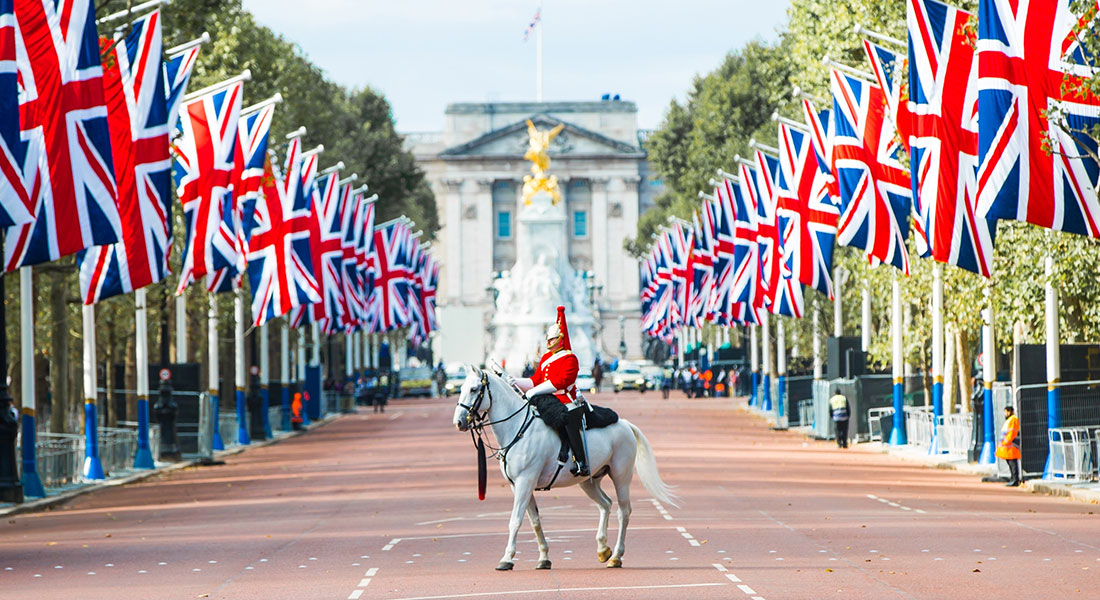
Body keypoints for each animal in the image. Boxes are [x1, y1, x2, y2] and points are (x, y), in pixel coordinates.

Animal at [448, 367, 673, 568]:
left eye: (474, 389)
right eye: (462, 388)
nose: (458, 422)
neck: (518, 428)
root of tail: (625, 423)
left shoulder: (524, 482)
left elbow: (515, 520)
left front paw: (507, 558)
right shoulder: (519, 486)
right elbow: (535, 521)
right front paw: (544, 558)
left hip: (621, 476)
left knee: (623, 511)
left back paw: (617, 556)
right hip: (588, 481)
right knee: (606, 504)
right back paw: (603, 549)